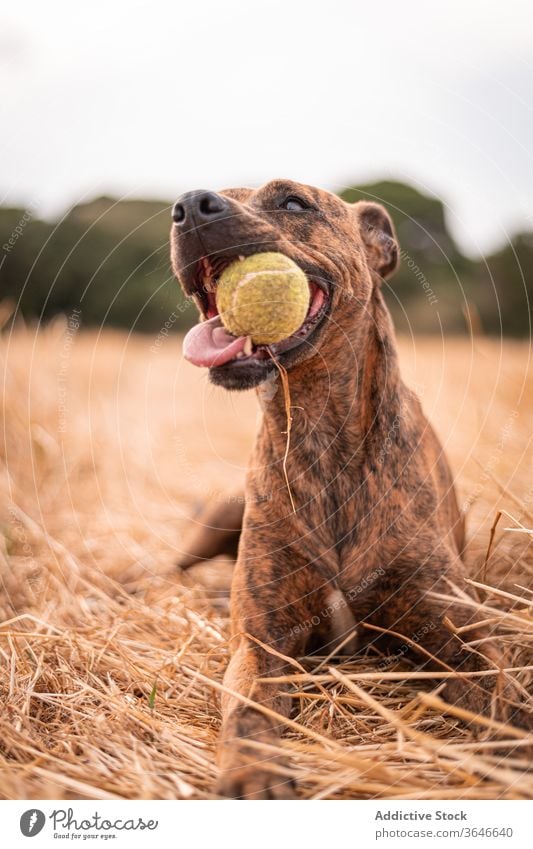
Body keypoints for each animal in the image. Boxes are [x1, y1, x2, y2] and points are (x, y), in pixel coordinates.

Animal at [170, 179, 528, 796]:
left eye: (292, 202)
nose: (190, 205)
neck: (320, 437)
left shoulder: (459, 631)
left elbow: (503, 694)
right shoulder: (261, 641)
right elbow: (245, 708)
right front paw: (254, 771)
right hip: (223, 513)